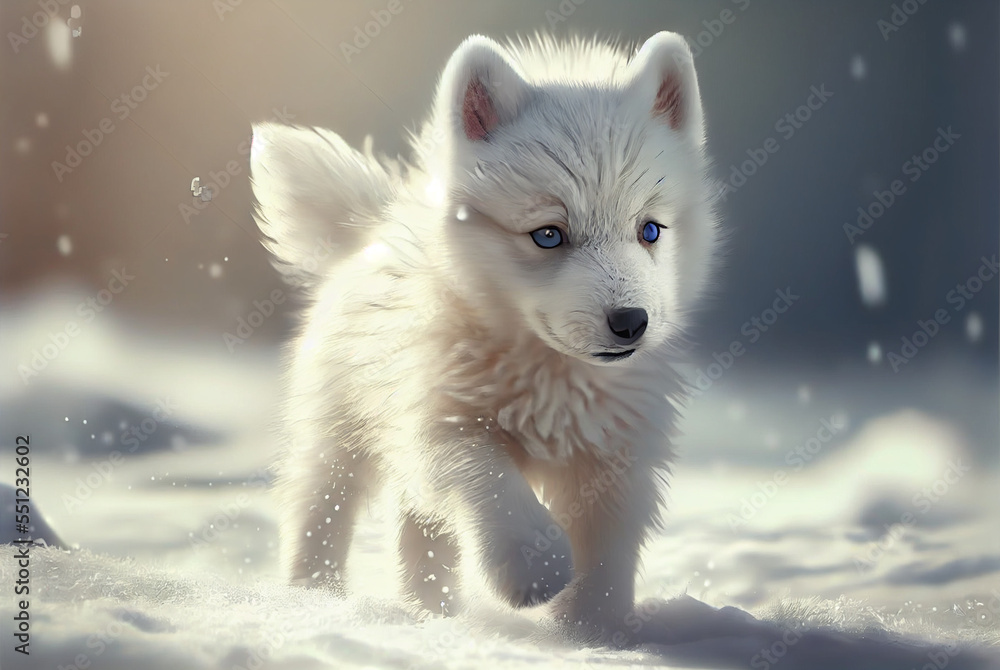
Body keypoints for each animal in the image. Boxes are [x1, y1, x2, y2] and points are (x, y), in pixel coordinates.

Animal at [250, 31, 720, 645]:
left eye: (650, 231)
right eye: (549, 235)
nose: (630, 322)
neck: (551, 376)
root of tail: (372, 228)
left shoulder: (619, 460)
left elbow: (607, 559)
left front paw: (592, 636)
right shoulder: (440, 422)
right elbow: (492, 483)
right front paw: (532, 571)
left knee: (420, 534)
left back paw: (432, 615)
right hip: (336, 432)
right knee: (320, 513)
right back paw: (313, 602)